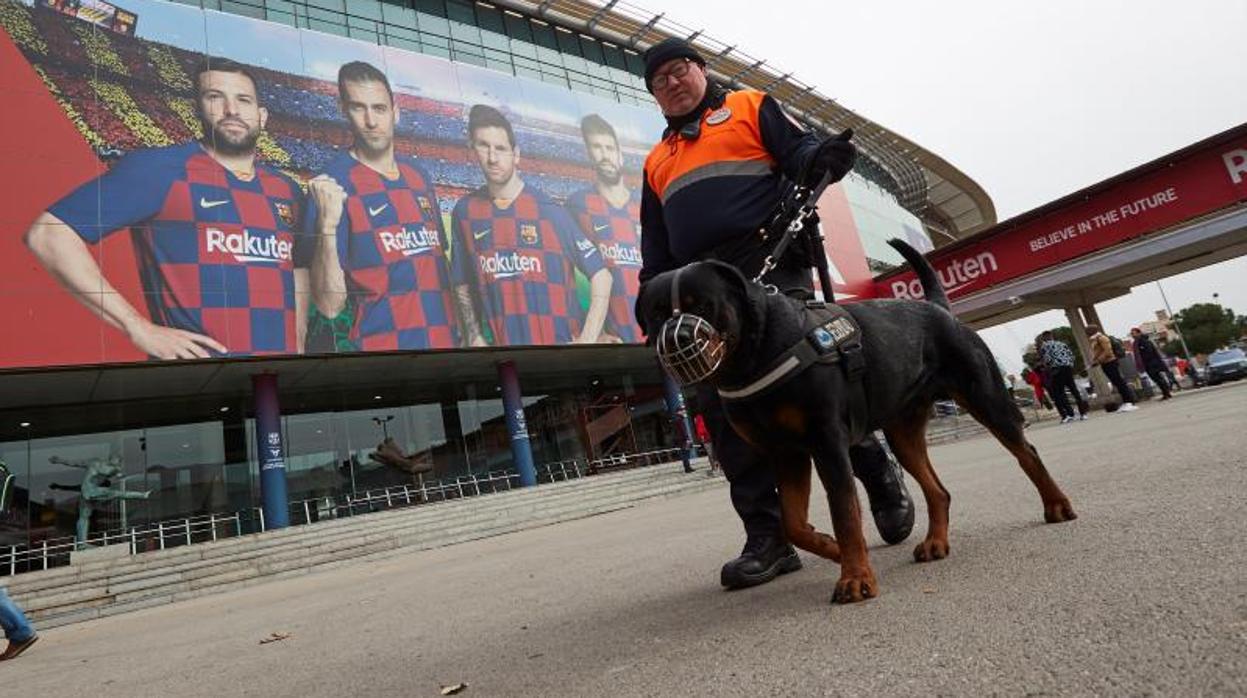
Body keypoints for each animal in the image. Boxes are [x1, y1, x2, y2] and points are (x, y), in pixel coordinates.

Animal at [638, 239, 1077, 605]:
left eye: (702, 305)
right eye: (657, 314)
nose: (677, 338)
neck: (754, 355)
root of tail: (936, 307)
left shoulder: (827, 442)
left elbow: (846, 511)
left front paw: (855, 577)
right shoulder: (785, 453)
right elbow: (793, 522)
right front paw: (832, 547)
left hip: (984, 394)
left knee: (1025, 451)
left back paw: (1056, 503)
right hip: (903, 431)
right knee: (938, 490)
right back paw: (935, 542)